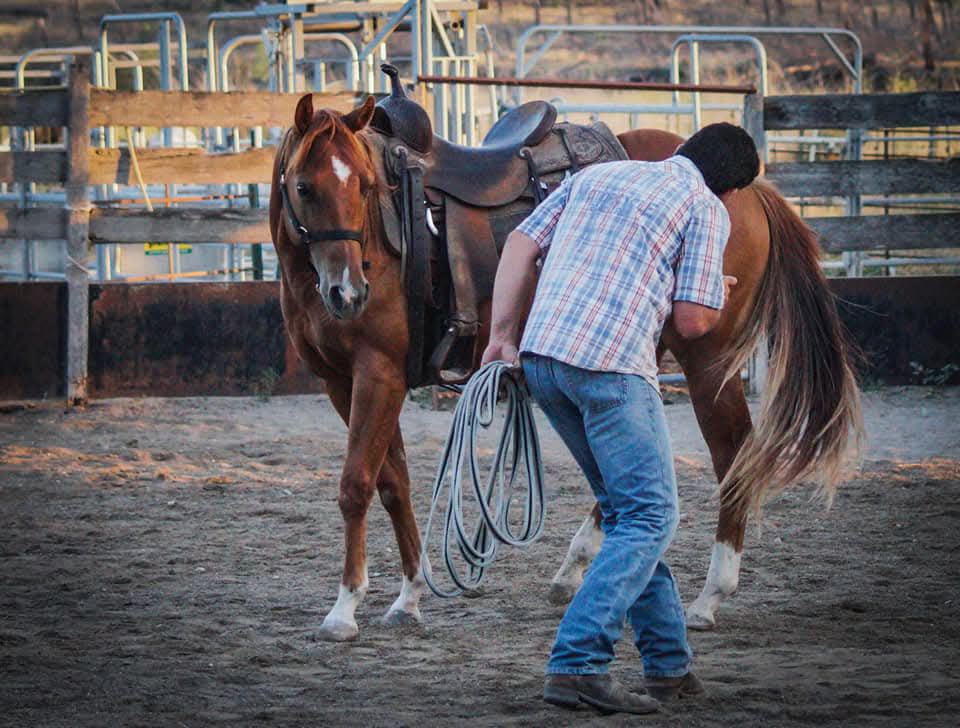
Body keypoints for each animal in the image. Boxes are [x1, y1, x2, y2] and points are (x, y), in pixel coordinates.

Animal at [269, 93, 863, 641]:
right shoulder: (342, 381)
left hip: (707, 359)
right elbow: (392, 482)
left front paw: (344, 609)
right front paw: (409, 596)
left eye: (365, 187)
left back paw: (709, 596)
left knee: (731, 451)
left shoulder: (379, 371)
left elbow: (356, 483)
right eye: (304, 187)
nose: (349, 293)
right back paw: (576, 566)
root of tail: (753, 192)